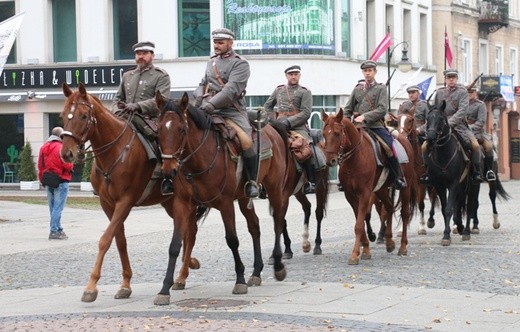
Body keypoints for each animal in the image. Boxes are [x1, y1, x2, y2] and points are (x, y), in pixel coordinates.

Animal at [59, 83, 201, 304]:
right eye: (64, 115)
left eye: (83, 116)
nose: (67, 153)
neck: (115, 152)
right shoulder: (107, 204)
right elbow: (120, 241)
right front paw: (125, 284)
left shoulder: (125, 202)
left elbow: (105, 239)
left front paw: (91, 287)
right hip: (170, 202)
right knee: (188, 231)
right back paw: (188, 268)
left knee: (191, 233)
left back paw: (182, 275)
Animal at [154, 91, 292, 304]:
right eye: (159, 130)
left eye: (181, 129)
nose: (169, 171)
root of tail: (270, 127)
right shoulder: (182, 205)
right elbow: (175, 245)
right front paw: (164, 289)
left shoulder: (225, 204)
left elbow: (232, 240)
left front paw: (240, 280)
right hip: (244, 197)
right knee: (255, 226)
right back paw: (256, 273)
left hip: (275, 189)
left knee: (278, 221)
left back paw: (277, 265)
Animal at [320, 109, 418, 264]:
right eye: (324, 134)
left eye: (336, 133)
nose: (330, 160)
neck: (354, 159)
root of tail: (404, 139)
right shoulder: (350, 195)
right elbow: (360, 222)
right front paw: (365, 250)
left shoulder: (364, 194)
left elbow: (359, 225)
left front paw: (355, 255)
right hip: (381, 189)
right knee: (388, 207)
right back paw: (389, 242)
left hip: (405, 187)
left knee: (404, 213)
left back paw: (403, 247)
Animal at [424, 102, 470, 245]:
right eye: (428, 119)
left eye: (440, 119)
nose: (430, 138)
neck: (444, 154)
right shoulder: (440, 184)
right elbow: (445, 209)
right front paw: (447, 233)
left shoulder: (454, 182)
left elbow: (449, 208)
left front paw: (446, 235)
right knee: (460, 203)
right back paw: (459, 225)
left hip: (469, 184)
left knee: (470, 205)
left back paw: (466, 231)